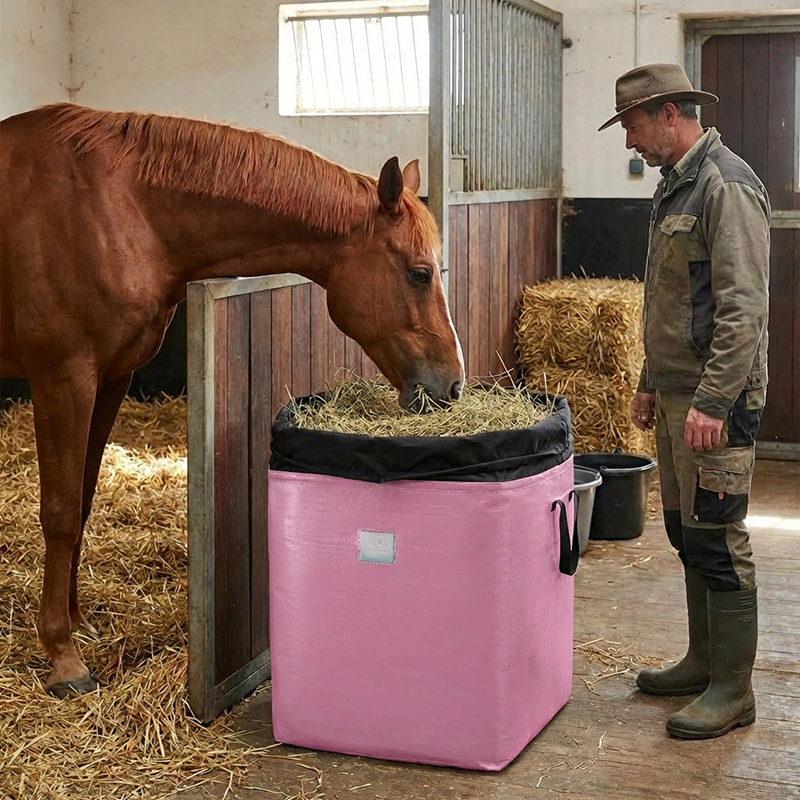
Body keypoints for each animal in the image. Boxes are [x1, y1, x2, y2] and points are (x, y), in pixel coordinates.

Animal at [0, 103, 465, 698]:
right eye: (419, 273)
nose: (452, 386)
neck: (117, 209)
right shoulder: (63, 377)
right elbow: (59, 510)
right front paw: (63, 656)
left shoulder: (110, 378)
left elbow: (82, 500)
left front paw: (77, 621)